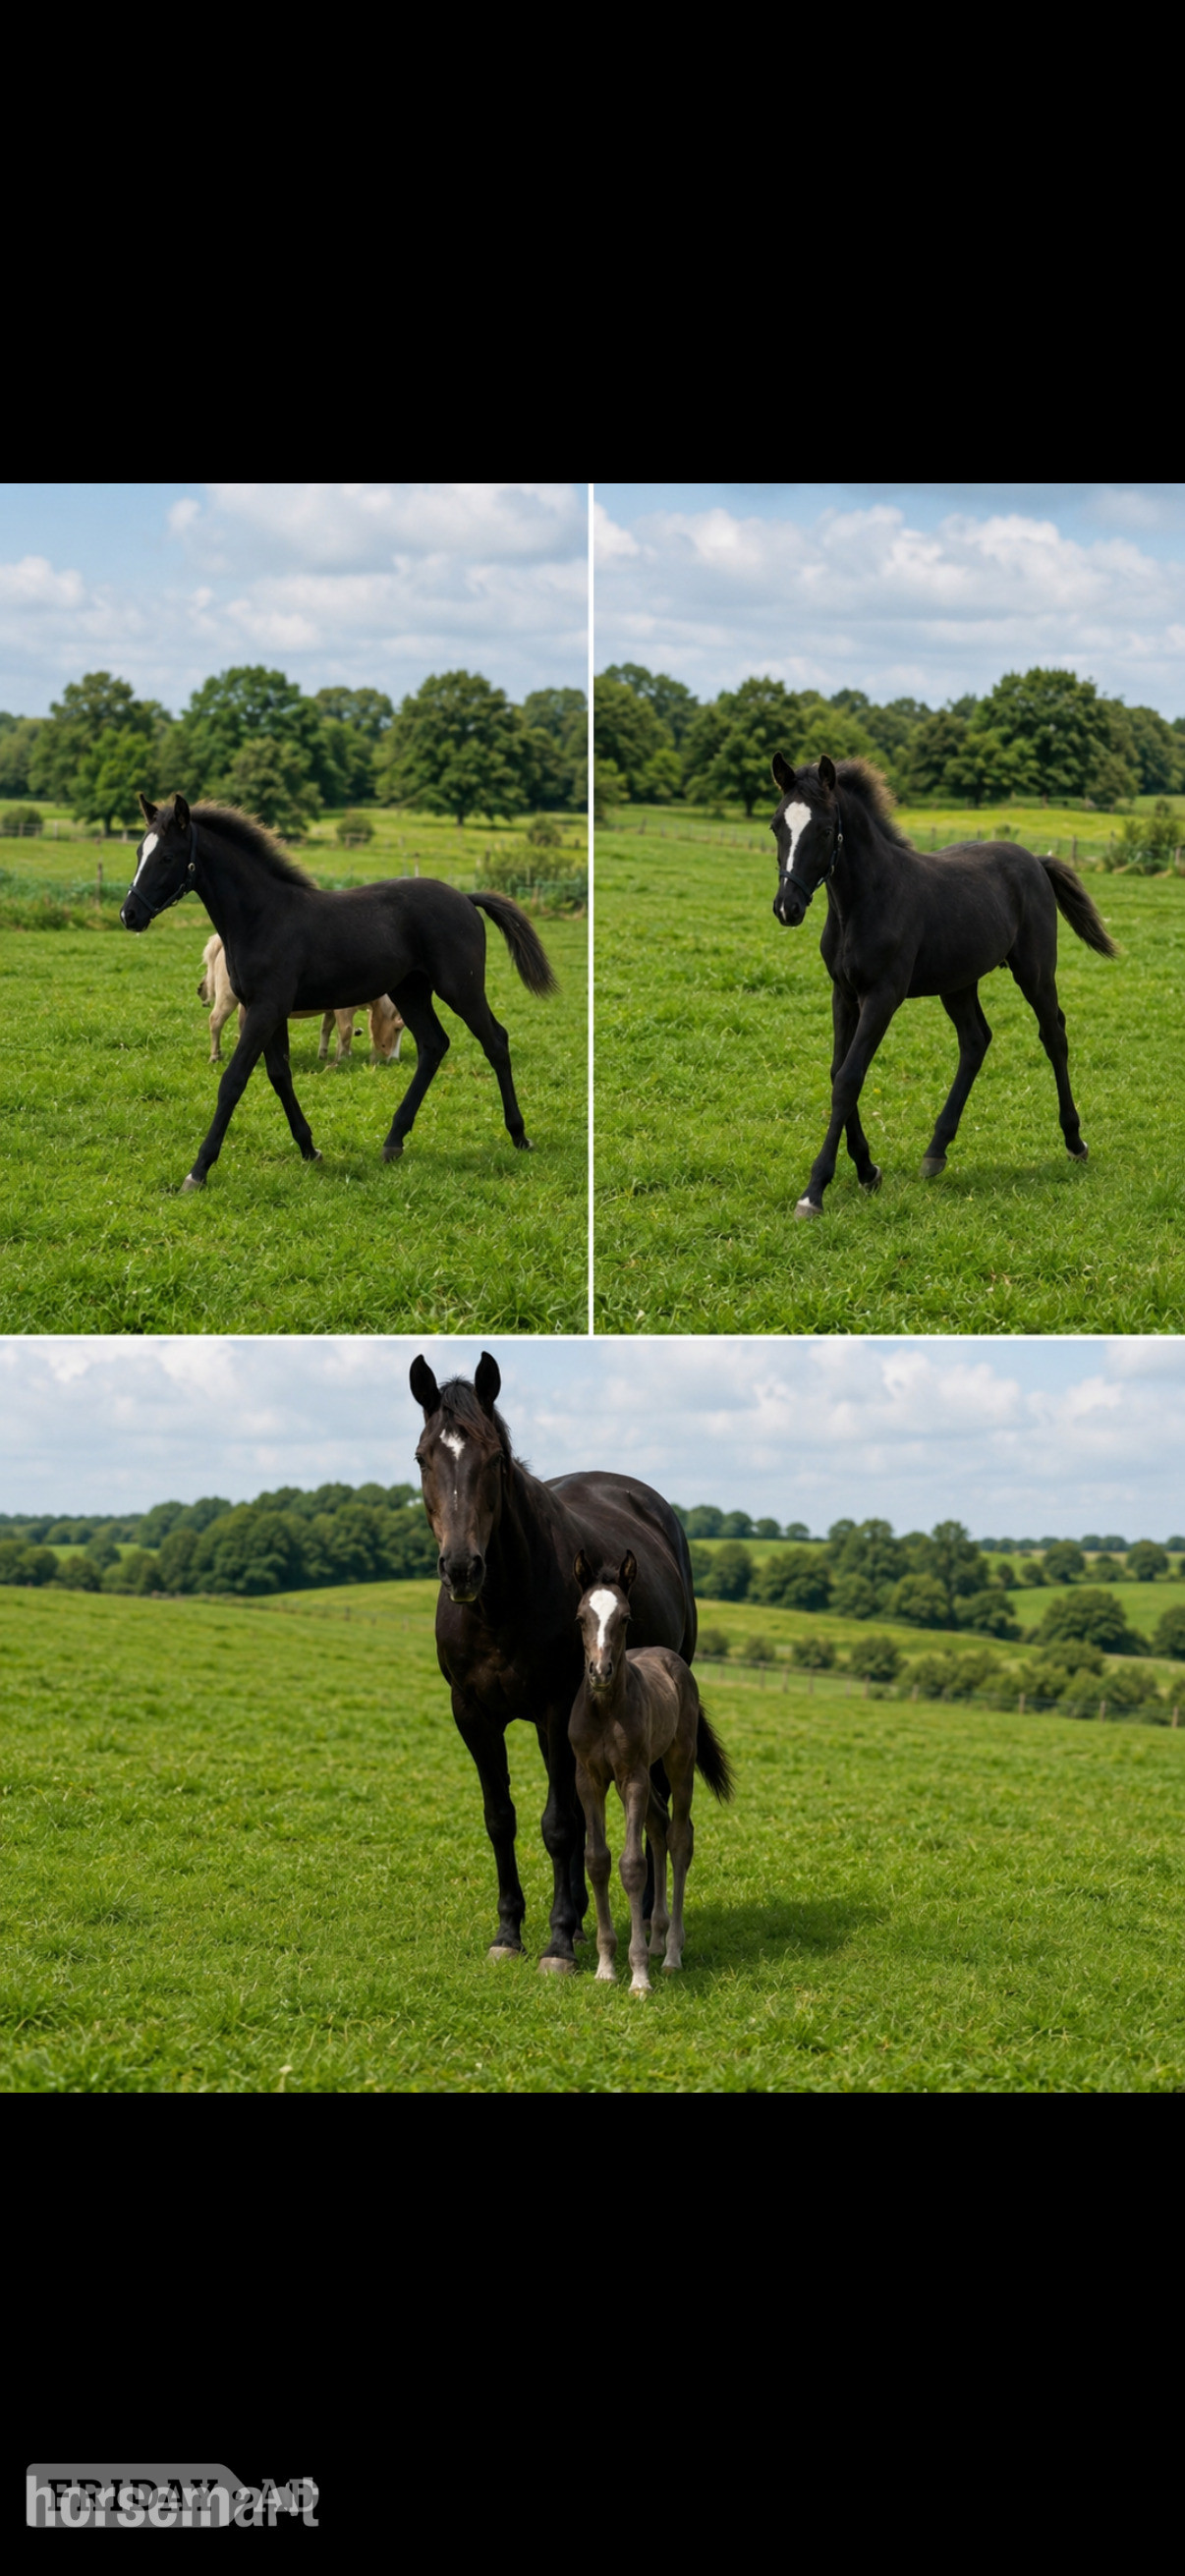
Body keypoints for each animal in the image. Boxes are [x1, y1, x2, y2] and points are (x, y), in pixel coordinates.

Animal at [196, 932, 404, 1067]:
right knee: (215, 1021)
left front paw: (324, 1055)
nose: (394, 1060)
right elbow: (345, 1031)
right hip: (227, 997)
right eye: (397, 1028)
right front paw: (344, 1059)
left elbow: (326, 1029)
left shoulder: (331, 1008)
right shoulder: (344, 1009)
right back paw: (214, 1056)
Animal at [411, 1351, 696, 1970]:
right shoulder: (471, 1714)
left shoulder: (555, 1708)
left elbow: (560, 1825)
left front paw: (559, 1940)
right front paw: (508, 1932)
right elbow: (501, 1818)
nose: (462, 1568)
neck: (500, 1604)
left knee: (657, 1815)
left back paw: (647, 1923)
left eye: (495, 1459)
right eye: (423, 1457)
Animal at [570, 1553, 733, 1992]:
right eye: (580, 1617)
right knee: (659, 1826)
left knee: (679, 1836)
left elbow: (632, 1866)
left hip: (677, 1761)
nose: (600, 1671)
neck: (605, 1710)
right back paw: (658, 1937)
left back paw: (672, 1952)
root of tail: (670, 1657)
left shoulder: (633, 1778)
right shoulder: (588, 1779)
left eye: (625, 1617)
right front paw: (605, 1966)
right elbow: (596, 1860)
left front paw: (639, 1975)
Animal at [768, 755, 1118, 1217]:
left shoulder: (883, 997)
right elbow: (837, 1072)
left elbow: (849, 1078)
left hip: (1036, 971)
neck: (865, 901)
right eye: (777, 826)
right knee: (976, 1040)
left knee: (1053, 1035)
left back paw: (1074, 1141)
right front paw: (867, 1170)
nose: (787, 908)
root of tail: (1034, 860)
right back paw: (936, 1151)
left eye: (825, 830)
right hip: (959, 983)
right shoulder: (843, 995)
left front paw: (814, 1191)